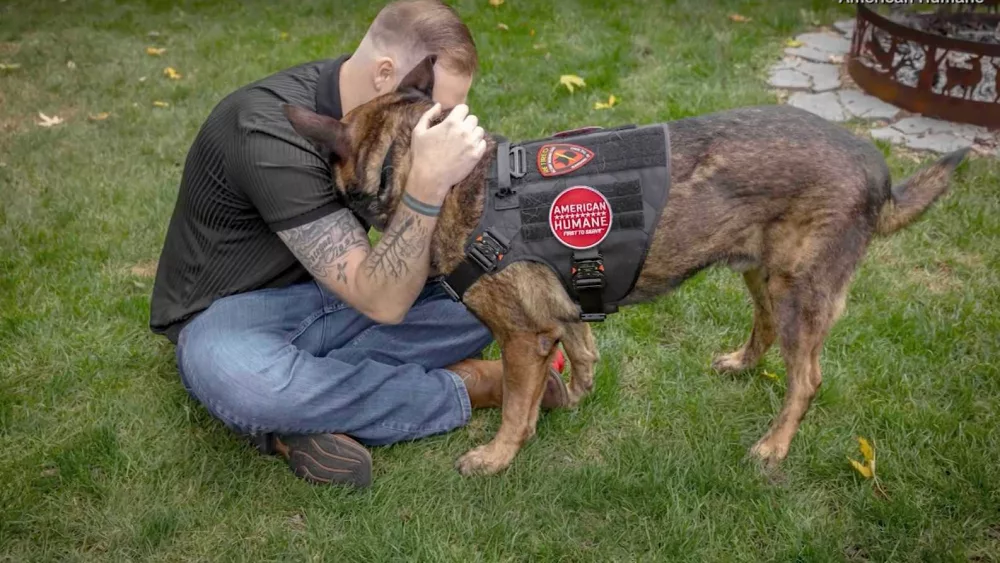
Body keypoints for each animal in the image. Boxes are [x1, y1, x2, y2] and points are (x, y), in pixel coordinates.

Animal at [282, 58, 968, 476]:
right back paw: (743, 364)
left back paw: (774, 445)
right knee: (766, 327)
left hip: (799, 290)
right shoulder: (562, 315)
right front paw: (566, 399)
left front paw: (499, 454)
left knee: (808, 378)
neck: (443, 176)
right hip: (761, 272)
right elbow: (581, 356)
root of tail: (877, 170)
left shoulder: (522, 337)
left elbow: (514, 406)